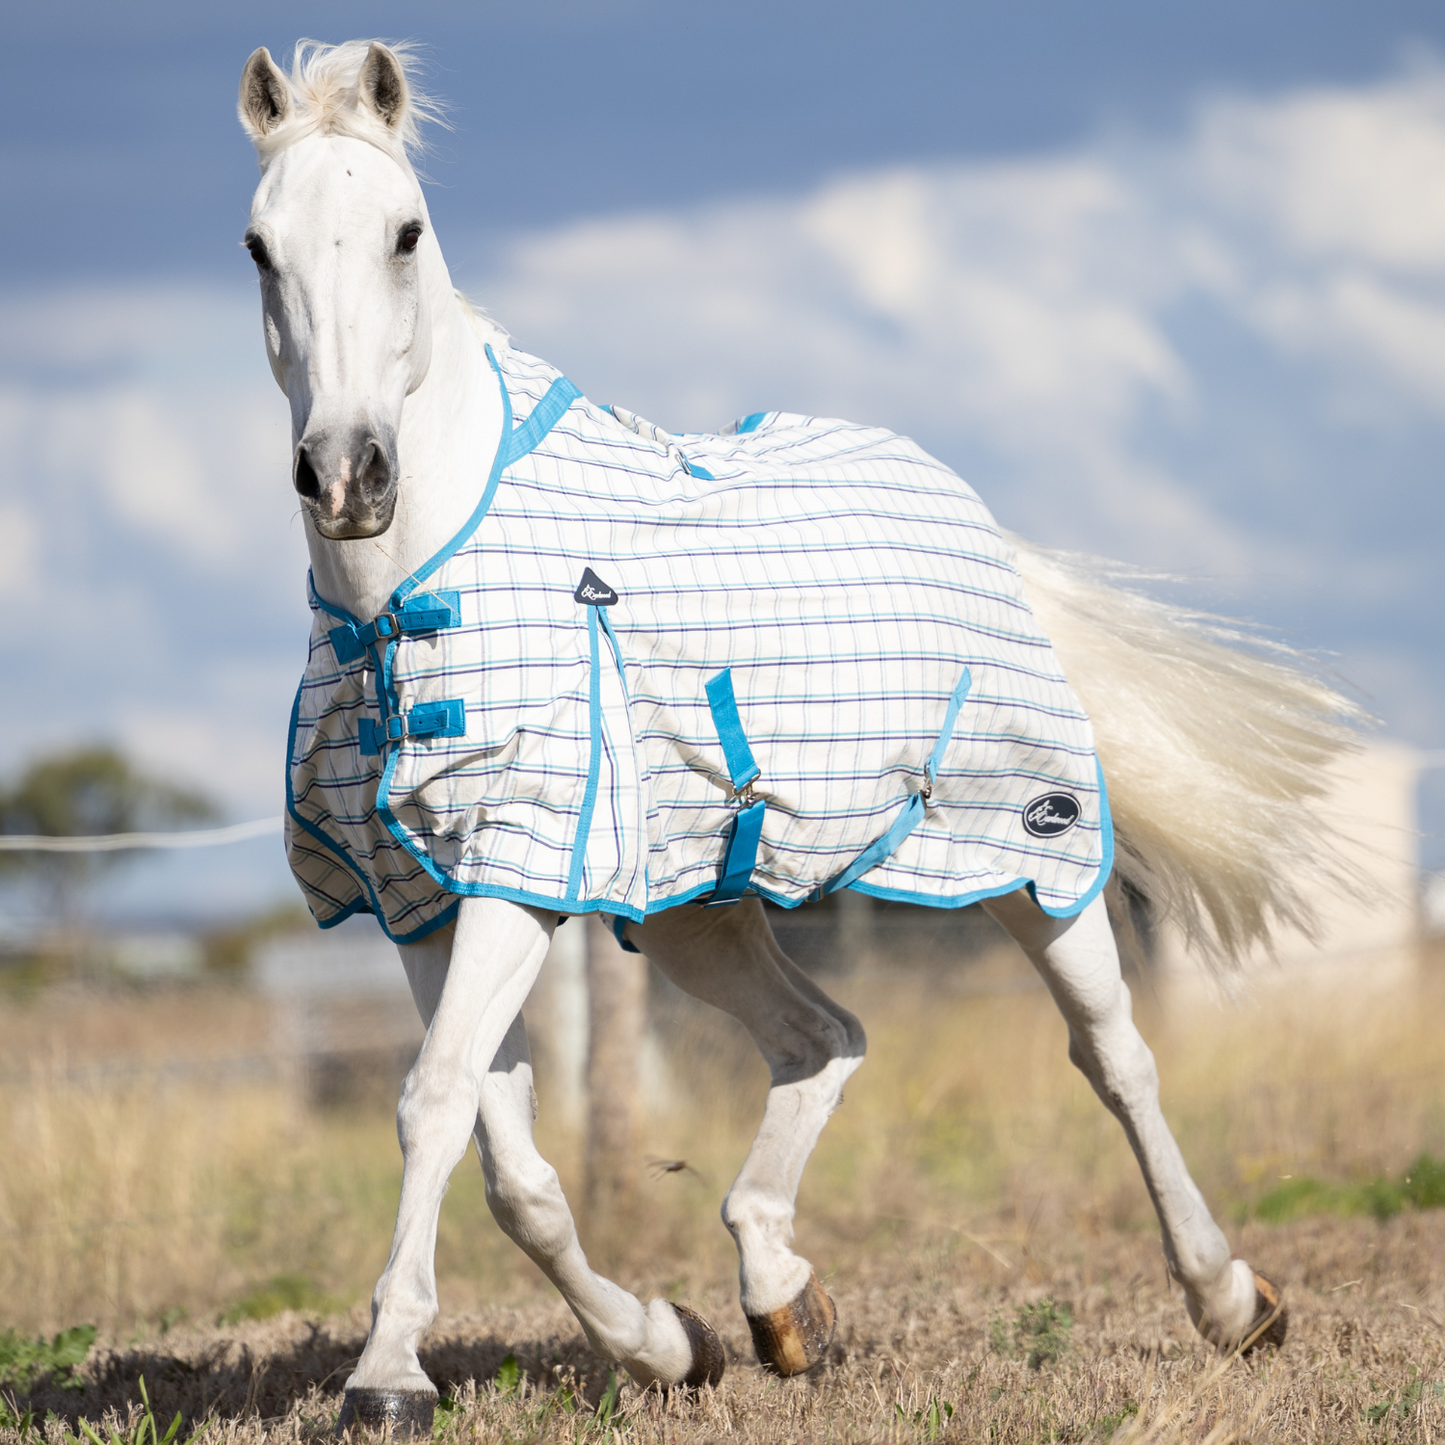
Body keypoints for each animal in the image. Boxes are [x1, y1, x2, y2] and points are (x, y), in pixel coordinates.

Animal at [236, 39, 1352, 1427]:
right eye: (258, 246)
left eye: (406, 231)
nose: (347, 476)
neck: (407, 595)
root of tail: (969, 514)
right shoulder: (427, 899)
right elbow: (512, 1167)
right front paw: (664, 1343)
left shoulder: (519, 870)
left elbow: (434, 1104)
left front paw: (387, 1377)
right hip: (696, 913)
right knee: (824, 1037)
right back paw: (778, 1301)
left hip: (1026, 858)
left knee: (1115, 1057)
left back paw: (1230, 1300)